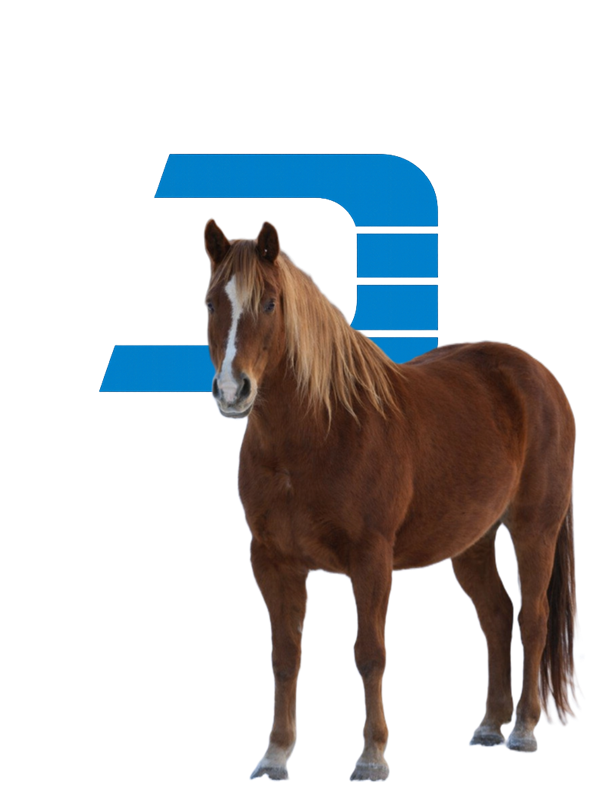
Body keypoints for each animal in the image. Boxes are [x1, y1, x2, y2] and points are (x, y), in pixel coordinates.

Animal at [203, 218, 582, 781]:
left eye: (269, 303)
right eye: (211, 304)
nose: (233, 391)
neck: (318, 434)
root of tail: (540, 378)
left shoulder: (370, 559)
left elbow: (369, 653)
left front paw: (372, 755)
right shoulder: (273, 561)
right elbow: (285, 656)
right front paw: (275, 756)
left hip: (535, 527)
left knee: (532, 618)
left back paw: (523, 729)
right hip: (472, 539)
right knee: (496, 615)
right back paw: (489, 726)